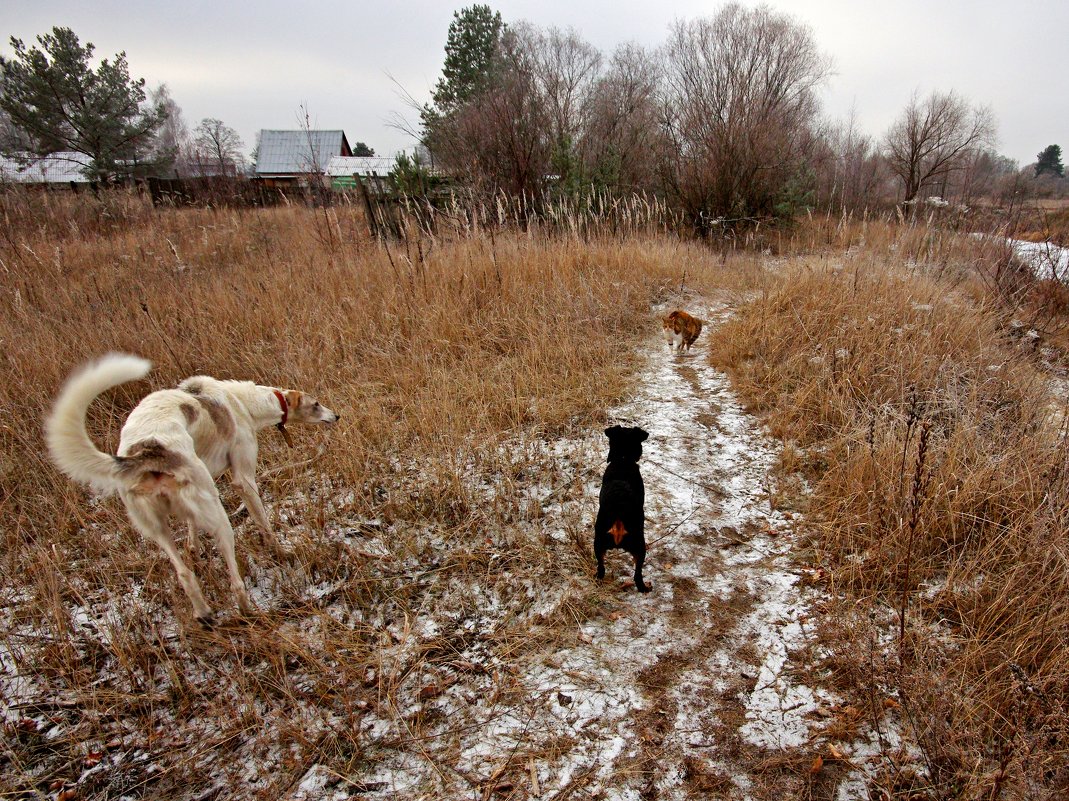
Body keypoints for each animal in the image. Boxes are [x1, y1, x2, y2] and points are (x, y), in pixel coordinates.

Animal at [44, 355, 337, 624]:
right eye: (316, 404)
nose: (337, 415)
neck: (241, 401)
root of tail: (149, 453)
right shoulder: (243, 479)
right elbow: (263, 522)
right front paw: (281, 552)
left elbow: (190, 528)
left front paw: (194, 548)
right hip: (218, 517)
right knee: (234, 579)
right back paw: (247, 611)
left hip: (158, 526)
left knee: (184, 574)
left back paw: (204, 612)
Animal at [594, 427, 649, 590]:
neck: (623, 459)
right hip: (640, 546)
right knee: (638, 575)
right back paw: (645, 588)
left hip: (598, 544)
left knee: (601, 568)